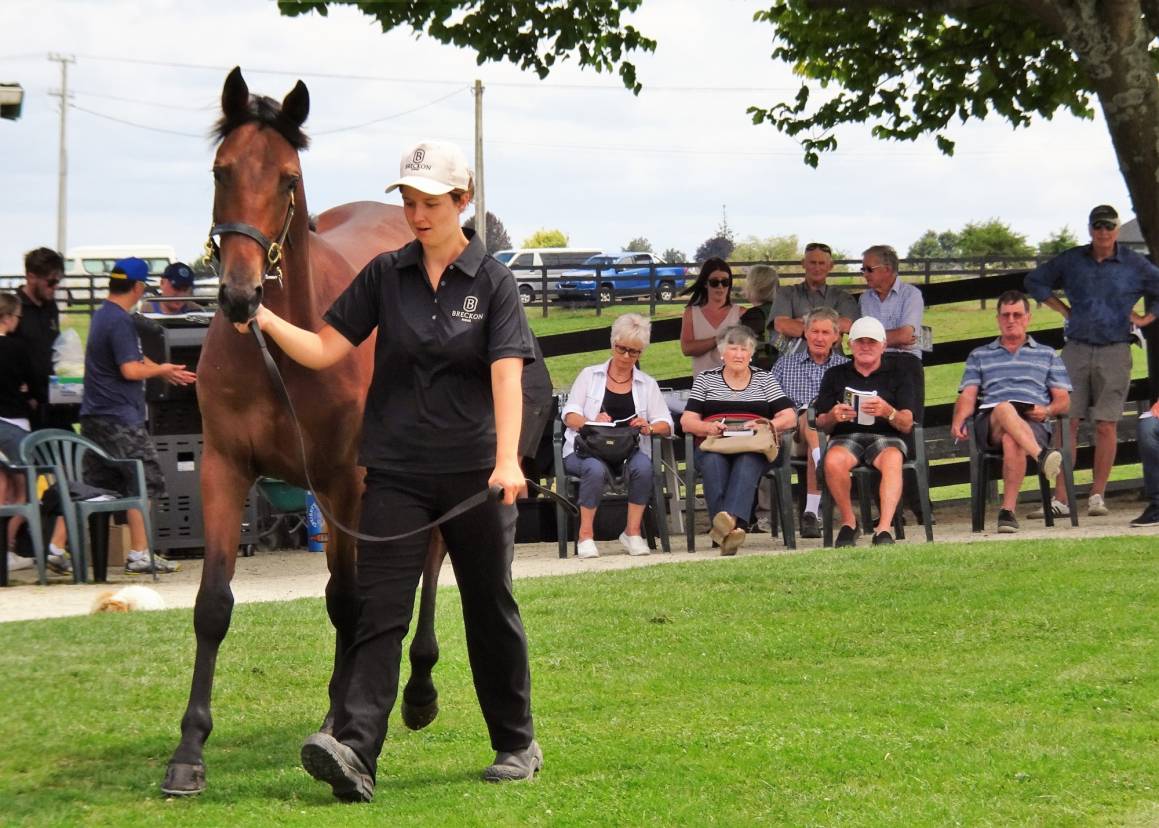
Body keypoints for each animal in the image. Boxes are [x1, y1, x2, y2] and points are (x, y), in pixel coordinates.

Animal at [163, 69, 447, 793]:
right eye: (220, 169)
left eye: (288, 178)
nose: (239, 295)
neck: (284, 352)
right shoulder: (226, 468)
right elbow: (213, 604)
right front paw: (188, 751)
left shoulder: (345, 481)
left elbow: (348, 602)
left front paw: (344, 724)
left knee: (430, 562)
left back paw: (417, 691)